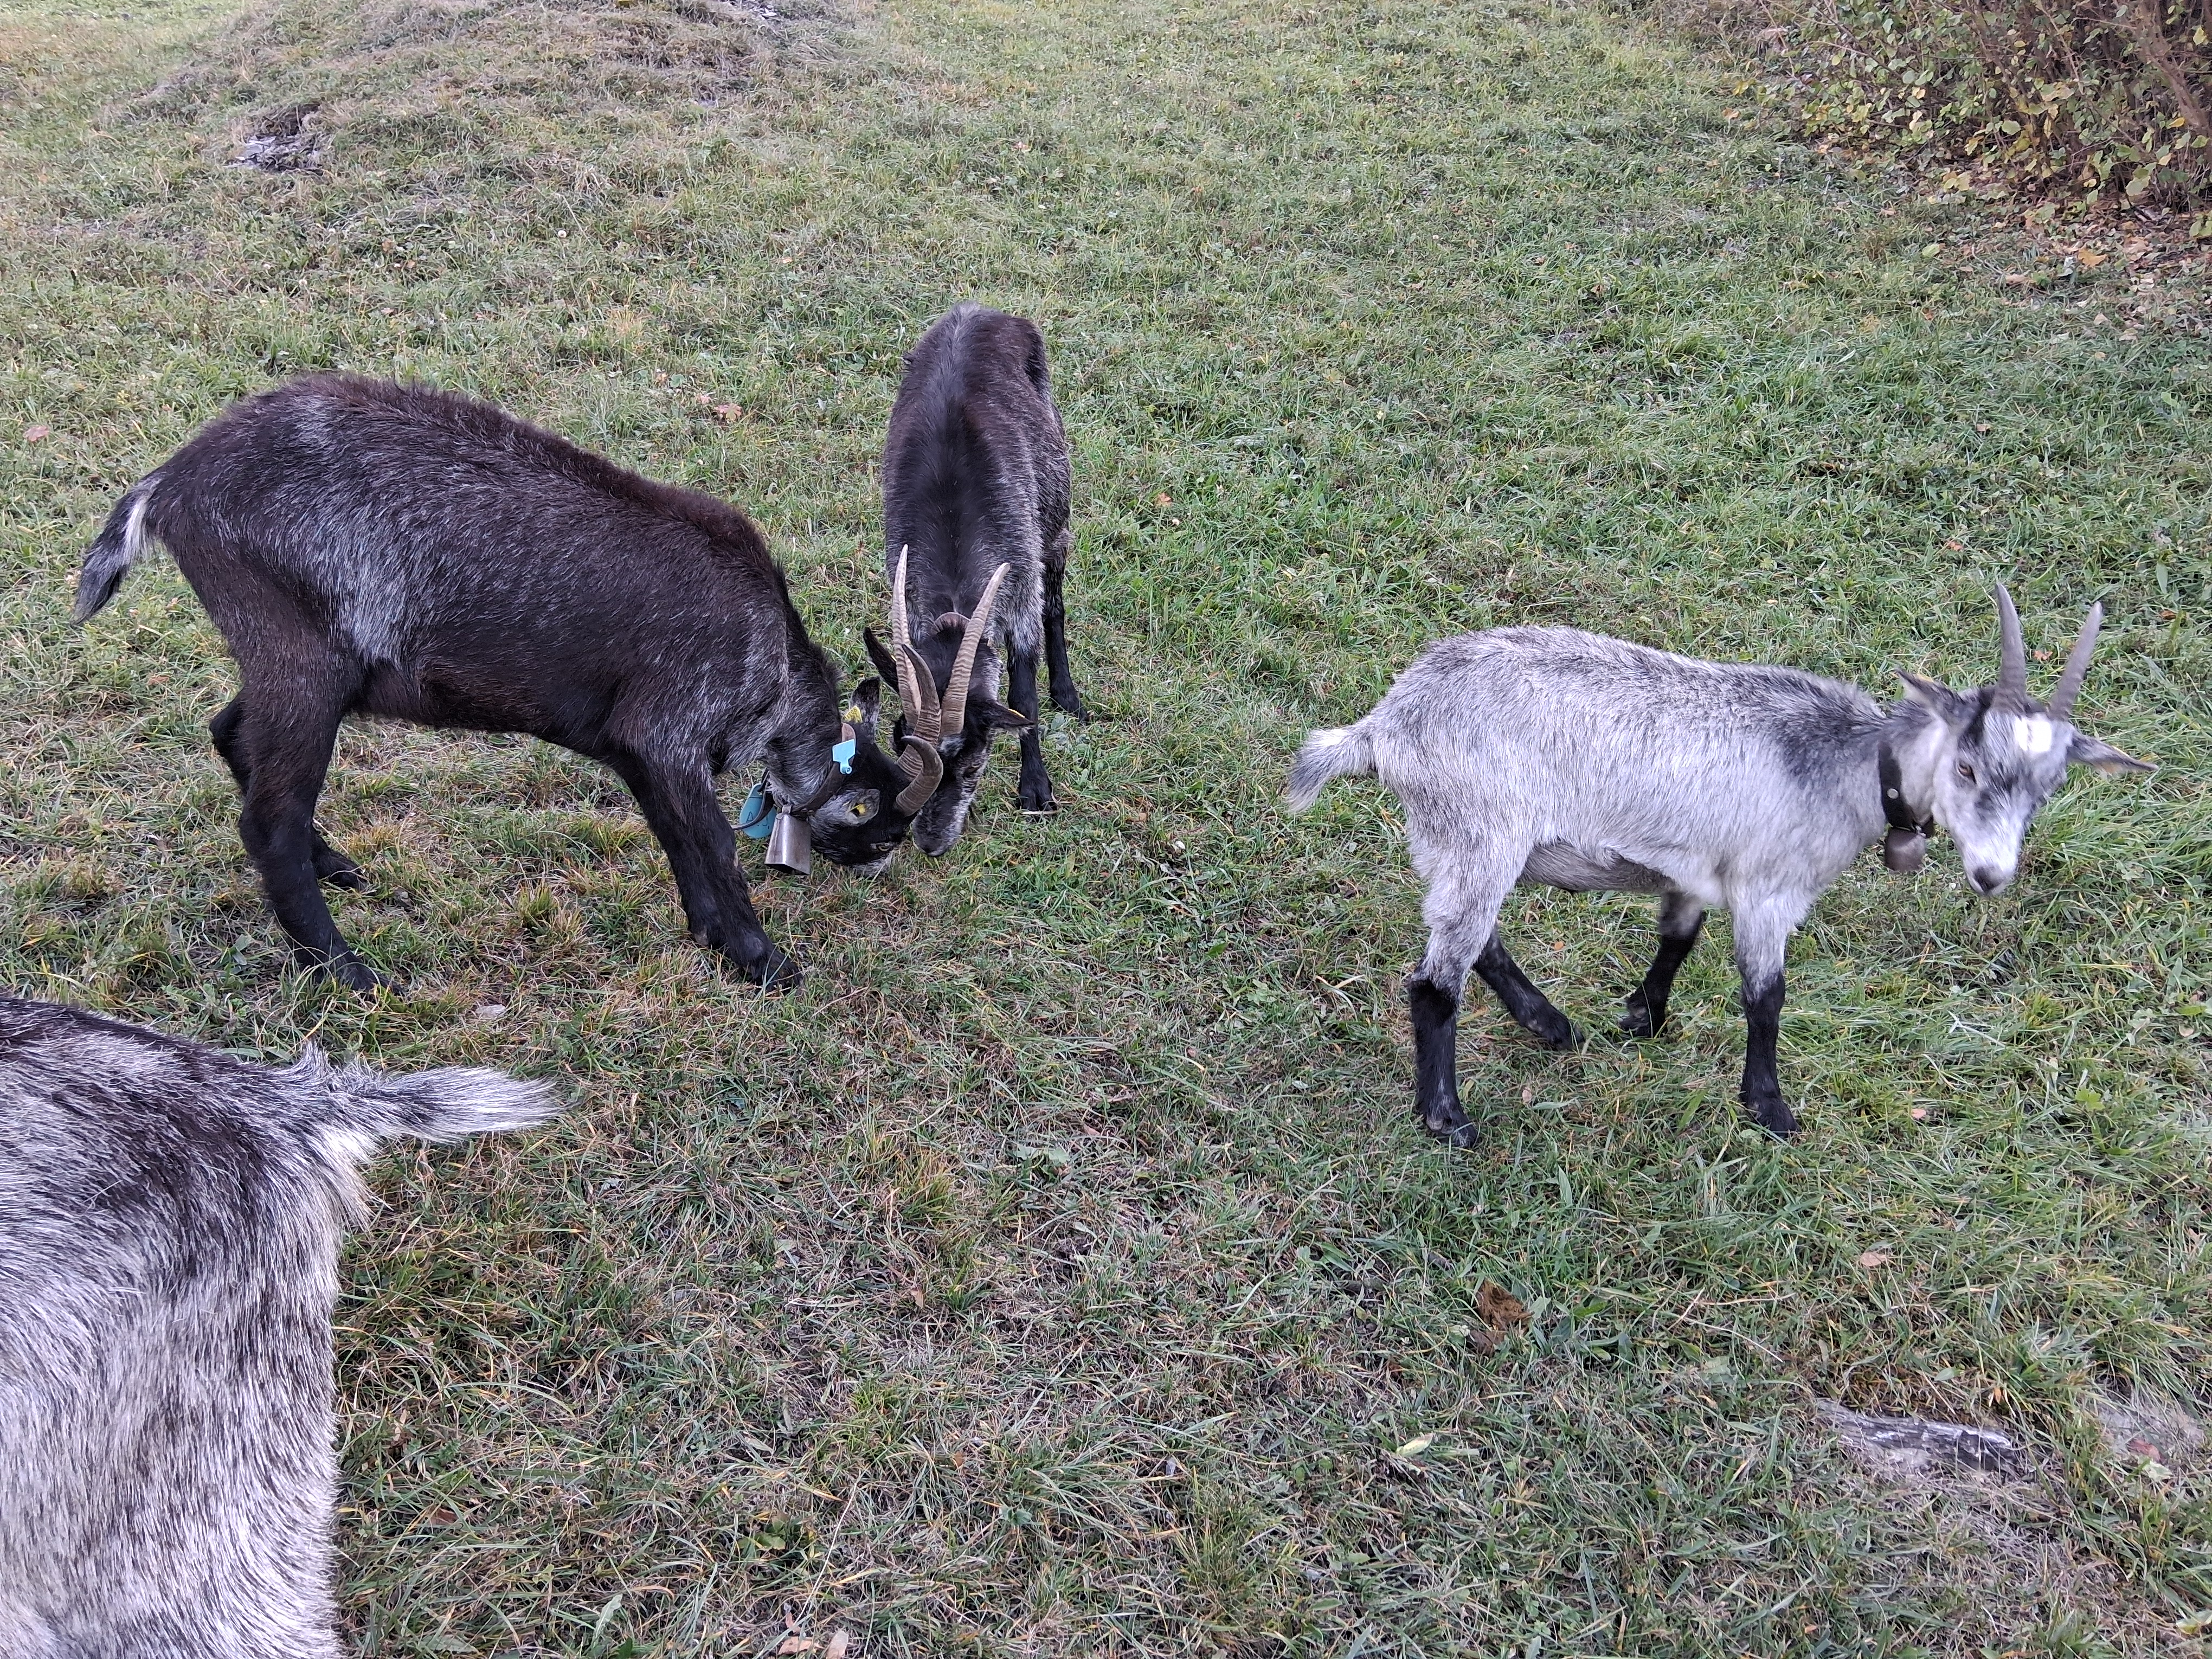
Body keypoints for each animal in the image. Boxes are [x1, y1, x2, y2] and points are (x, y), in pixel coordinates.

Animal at [73, 373, 938, 992]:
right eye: (883, 820)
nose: (876, 864)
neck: (770, 657)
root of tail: (171, 484)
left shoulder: (633, 748)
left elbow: (675, 834)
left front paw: (712, 937)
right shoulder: (667, 729)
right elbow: (715, 841)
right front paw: (764, 960)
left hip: (298, 670)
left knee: (228, 730)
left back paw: (336, 867)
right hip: (304, 669)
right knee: (269, 823)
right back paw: (349, 974)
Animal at [863, 304, 1086, 856]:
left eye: (971, 755)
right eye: (899, 739)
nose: (930, 841)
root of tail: (981, 311)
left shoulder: (1021, 583)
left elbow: (1023, 698)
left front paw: (1036, 789)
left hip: (1057, 520)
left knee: (1057, 604)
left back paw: (1068, 694)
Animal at [1287, 587, 2150, 1142]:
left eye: (2048, 787)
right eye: (1968, 766)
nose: (1992, 877)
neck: (1844, 766)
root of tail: (1385, 725)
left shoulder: (1696, 872)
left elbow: (1678, 938)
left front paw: (1644, 1016)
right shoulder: (1770, 891)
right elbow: (1766, 997)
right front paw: (1770, 1110)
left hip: (1460, 845)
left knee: (1475, 942)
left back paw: (1550, 1023)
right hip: (1480, 832)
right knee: (1435, 982)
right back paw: (1448, 1118)